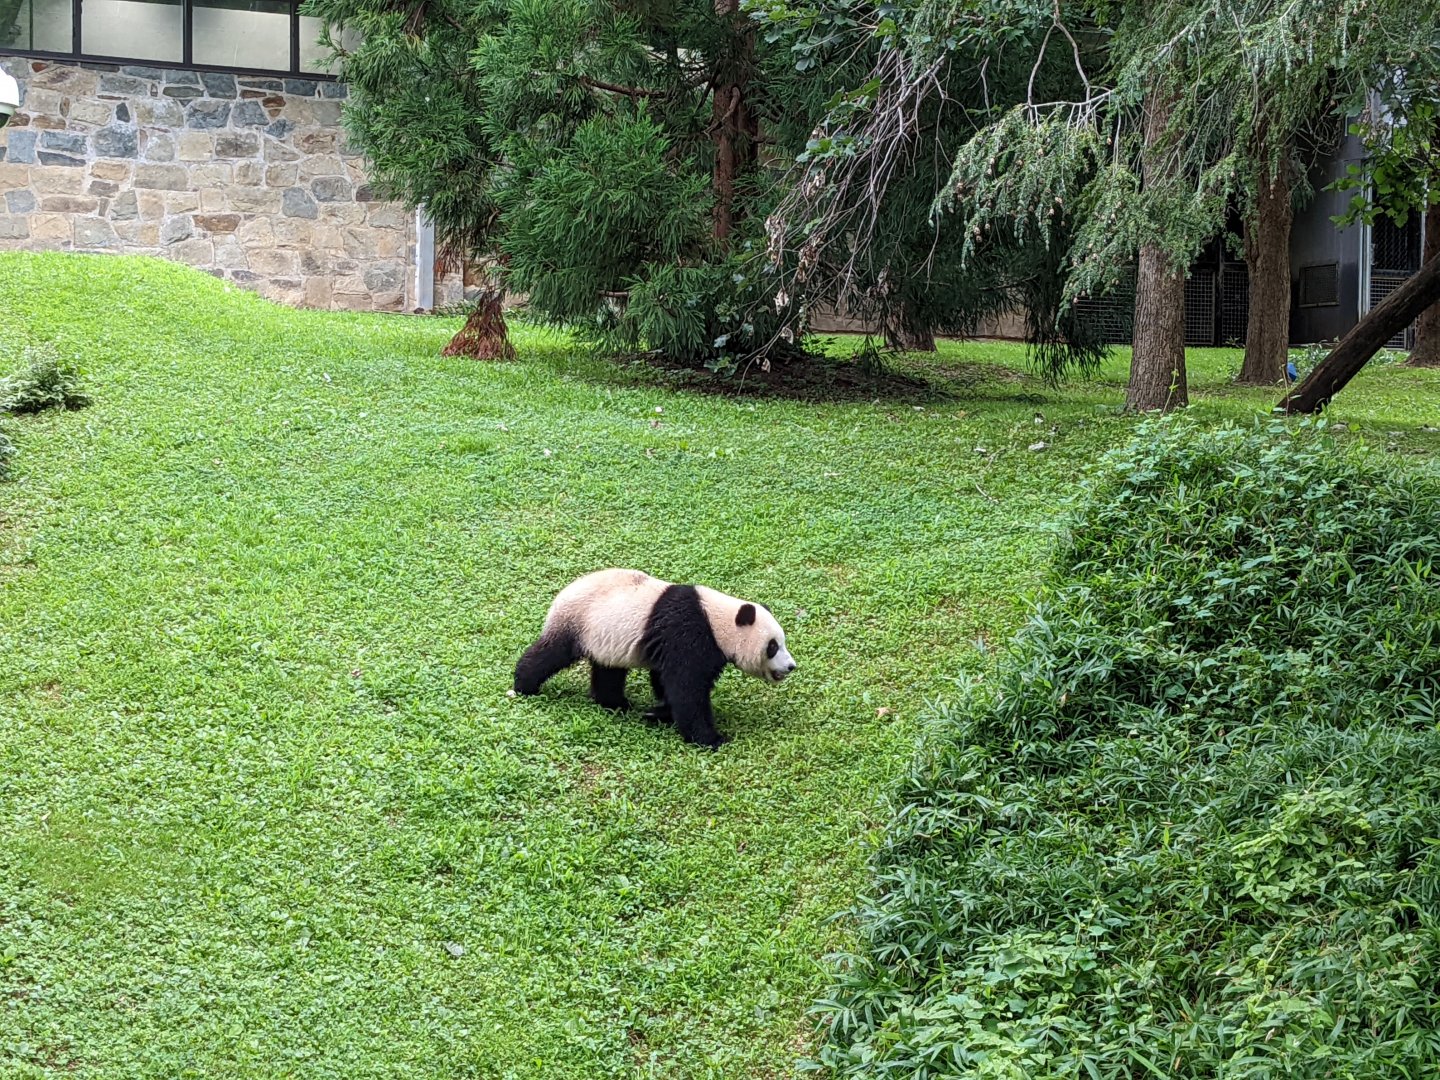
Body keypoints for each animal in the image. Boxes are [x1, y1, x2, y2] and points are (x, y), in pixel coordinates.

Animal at [513, 569, 796, 748]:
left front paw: (658, 713)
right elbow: (686, 687)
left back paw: (616, 703)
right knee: (552, 653)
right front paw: (711, 738)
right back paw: (523, 685)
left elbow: (666, 681)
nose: (791, 666)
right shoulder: (688, 632)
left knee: (609, 670)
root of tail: (561, 594)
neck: (718, 619)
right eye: (773, 646)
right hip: (579, 621)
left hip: (605, 635)